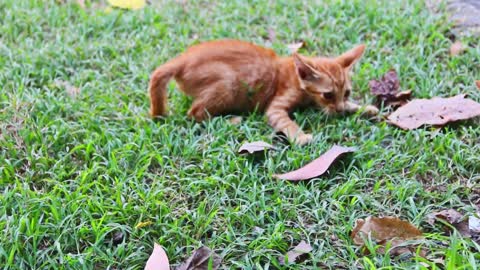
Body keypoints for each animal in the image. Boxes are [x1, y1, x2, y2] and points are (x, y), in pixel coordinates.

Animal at [150, 39, 378, 144]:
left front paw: (364, 108)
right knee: (194, 113)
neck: (295, 76)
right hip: (229, 83)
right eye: (327, 95)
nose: (338, 109)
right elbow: (286, 121)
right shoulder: (276, 107)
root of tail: (182, 59)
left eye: (346, 93)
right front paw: (301, 137)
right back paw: (231, 120)